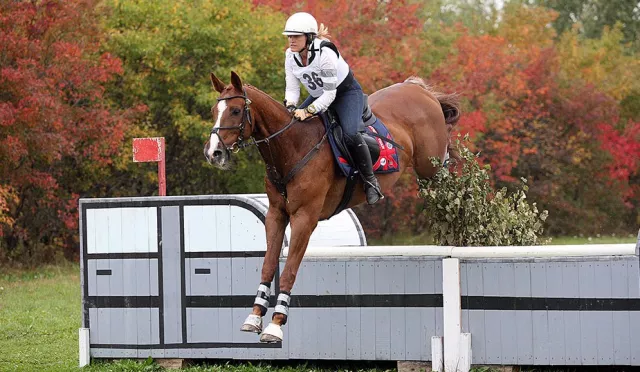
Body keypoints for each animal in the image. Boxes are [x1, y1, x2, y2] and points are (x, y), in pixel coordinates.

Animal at [202, 70, 458, 342]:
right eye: (213, 110)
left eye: (236, 110)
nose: (213, 153)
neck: (291, 147)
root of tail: (419, 89)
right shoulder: (276, 215)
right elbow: (268, 265)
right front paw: (254, 316)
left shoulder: (304, 218)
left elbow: (289, 270)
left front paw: (276, 324)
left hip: (430, 168)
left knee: (445, 174)